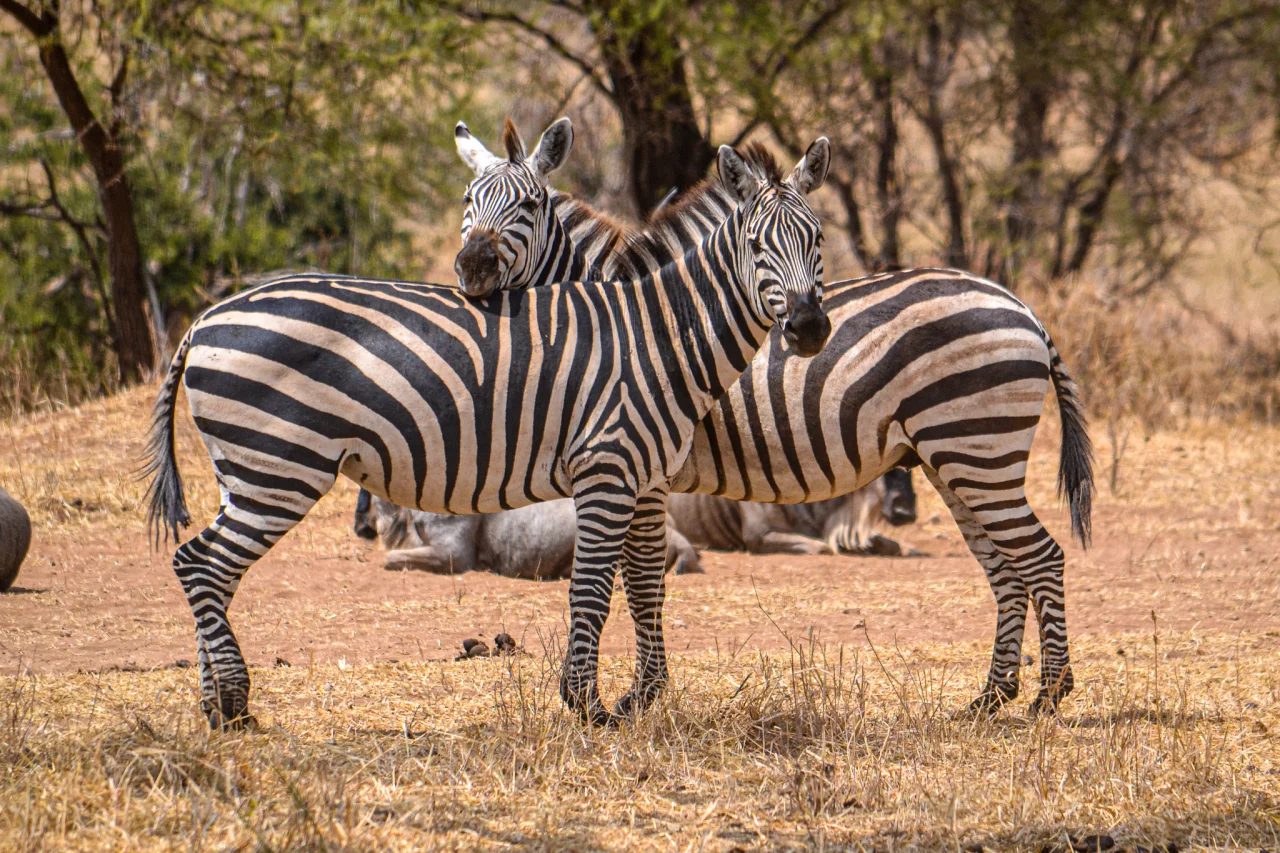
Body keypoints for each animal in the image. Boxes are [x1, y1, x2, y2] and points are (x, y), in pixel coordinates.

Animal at [144, 137, 833, 728]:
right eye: (756, 244)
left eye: (819, 239)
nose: (809, 329)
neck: (659, 335)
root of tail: (206, 317)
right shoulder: (606, 470)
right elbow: (592, 590)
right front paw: (586, 705)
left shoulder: (647, 481)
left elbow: (645, 588)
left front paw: (640, 698)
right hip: (279, 467)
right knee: (201, 564)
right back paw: (233, 707)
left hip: (245, 471)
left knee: (207, 570)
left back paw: (216, 707)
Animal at [449, 129, 1093, 717]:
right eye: (467, 200)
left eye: (530, 205)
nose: (472, 268)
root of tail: (1023, 308)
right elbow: (644, 579)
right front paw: (645, 690)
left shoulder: (641, 471)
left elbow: (642, 578)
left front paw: (642, 695)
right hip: (955, 459)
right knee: (1005, 568)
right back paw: (991, 697)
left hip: (979, 451)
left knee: (1042, 557)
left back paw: (1049, 695)